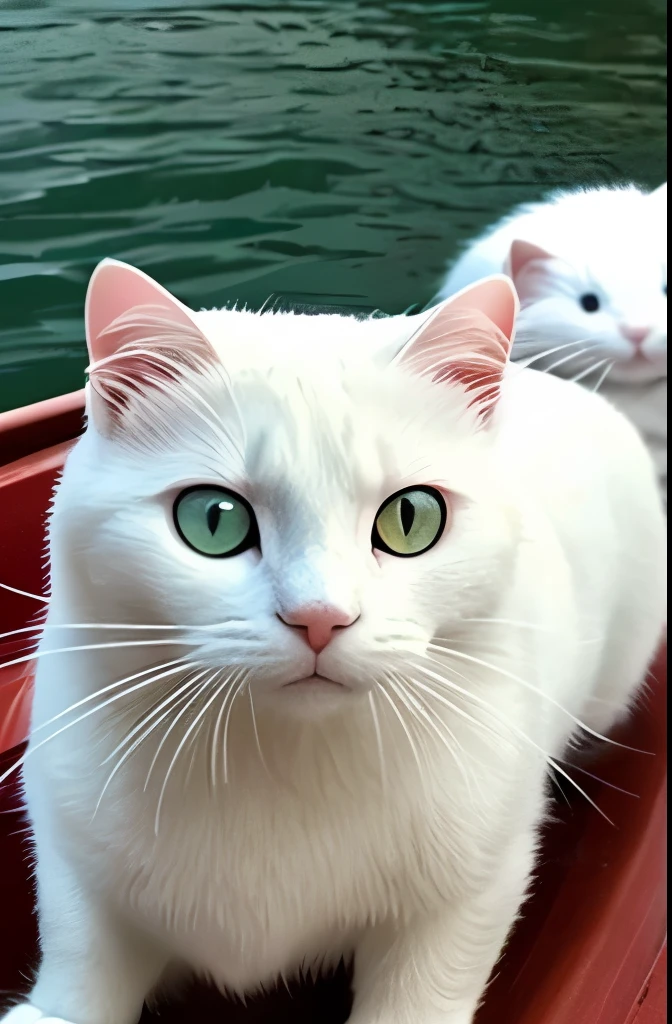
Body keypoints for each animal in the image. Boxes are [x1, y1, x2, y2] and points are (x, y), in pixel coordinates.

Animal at [0, 260, 659, 1019]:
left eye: (412, 517)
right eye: (213, 518)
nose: (320, 616)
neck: (284, 762)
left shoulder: (469, 890)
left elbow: (423, 991)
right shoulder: (72, 848)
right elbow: (84, 951)